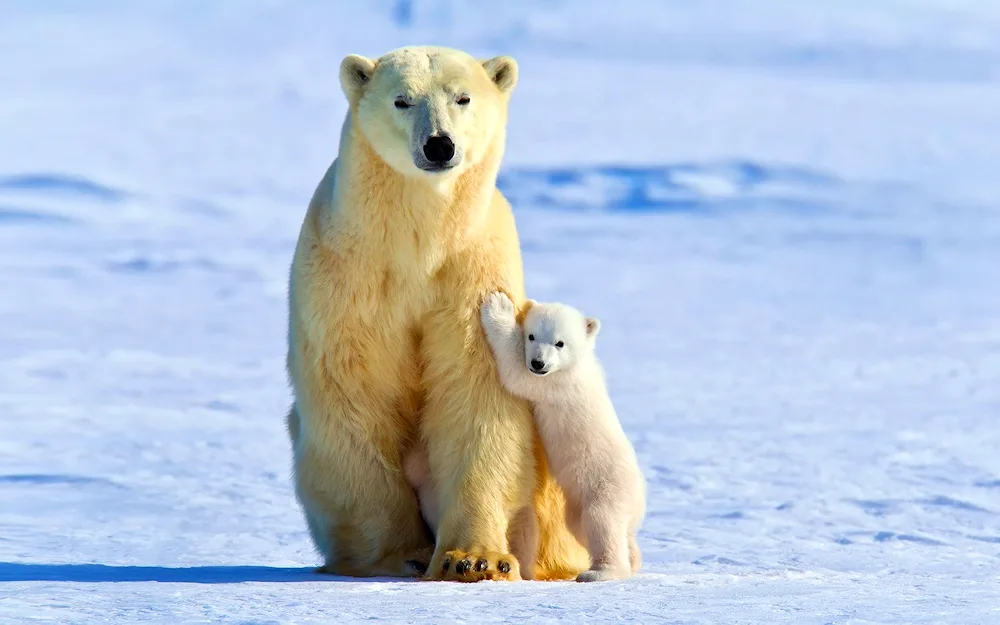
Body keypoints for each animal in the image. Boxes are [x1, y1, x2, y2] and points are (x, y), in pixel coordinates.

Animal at [286, 46, 588, 584]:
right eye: (402, 99)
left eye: (462, 97)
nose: (439, 145)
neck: (419, 242)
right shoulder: (349, 278)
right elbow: (356, 394)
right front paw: (399, 554)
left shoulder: (472, 272)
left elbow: (476, 394)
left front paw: (472, 558)